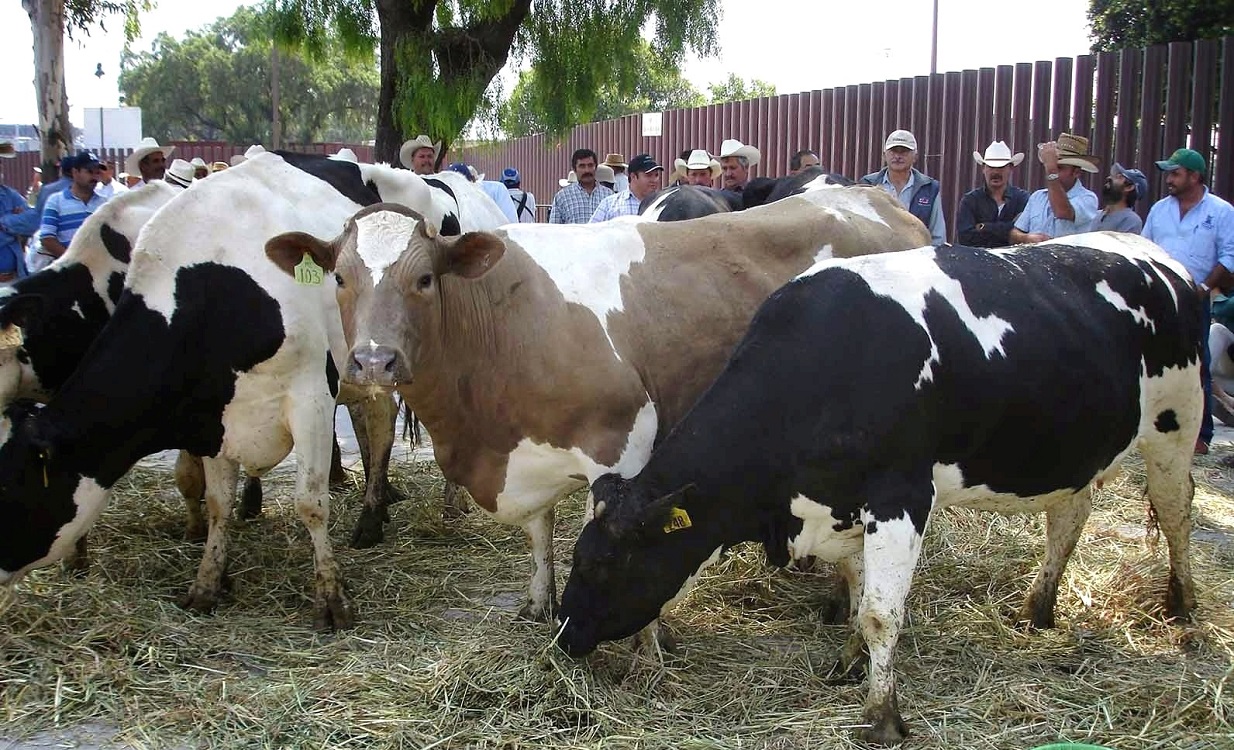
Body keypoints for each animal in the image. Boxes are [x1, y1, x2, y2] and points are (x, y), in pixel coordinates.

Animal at [265, 185, 927, 619]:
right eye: (340, 278)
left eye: (425, 279)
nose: (374, 360)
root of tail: (876, 197)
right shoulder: (524, 452)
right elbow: (538, 534)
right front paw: (538, 602)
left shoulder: (623, 442)